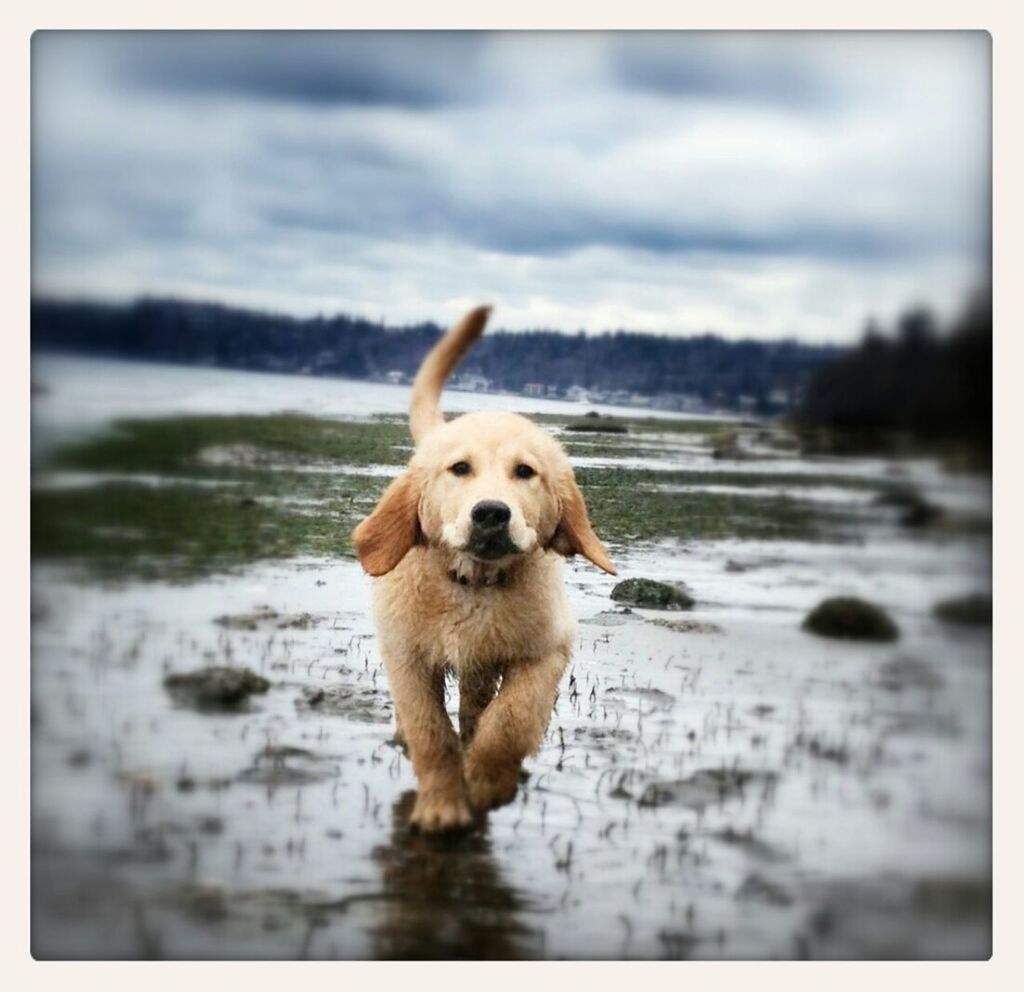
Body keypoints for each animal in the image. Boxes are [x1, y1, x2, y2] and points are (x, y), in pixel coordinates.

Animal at [350, 305, 614, 831]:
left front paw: (487, 781)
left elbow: (511, 720)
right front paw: (442, 806)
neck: (472, 584)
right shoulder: (407, 656)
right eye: (459, 469)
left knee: (479, 707)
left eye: (525, 472)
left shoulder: (547, 650)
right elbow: (430, 732)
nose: (491, 513)